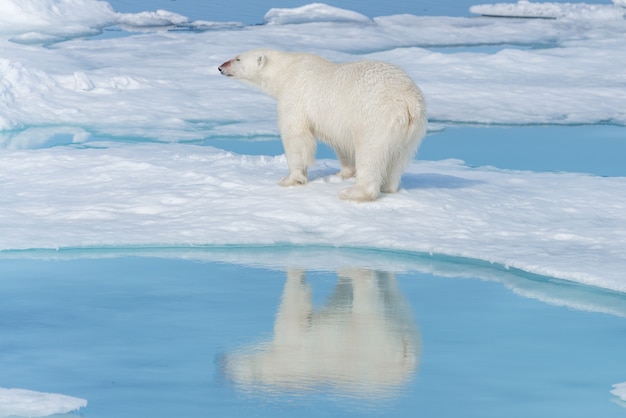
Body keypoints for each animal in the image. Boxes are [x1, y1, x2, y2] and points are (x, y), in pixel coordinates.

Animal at [217, 49, 426, 202]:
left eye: (237, 58)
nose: (220, 67)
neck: (287, 70)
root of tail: (408, 100)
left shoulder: (295, 96)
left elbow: (295, 136)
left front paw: (290, 179)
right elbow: (341, 142)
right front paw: (344, 172)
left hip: (376, 117)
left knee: (370, 152)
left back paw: (353, 192)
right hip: (412, 130)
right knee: (398, 158)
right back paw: (388, 186)